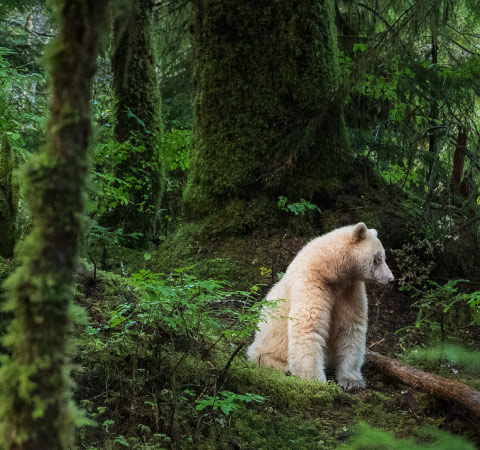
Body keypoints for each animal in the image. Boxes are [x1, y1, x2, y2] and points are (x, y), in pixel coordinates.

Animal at [248, 222, 394, 390]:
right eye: (377, 258)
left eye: (383, 257)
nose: (390, 279)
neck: (330, 269)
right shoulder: (311, 282)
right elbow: (309, 326)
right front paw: (315, 381)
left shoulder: (349, 290)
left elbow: (351, 326)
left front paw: (351, 380)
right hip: (267, 348)